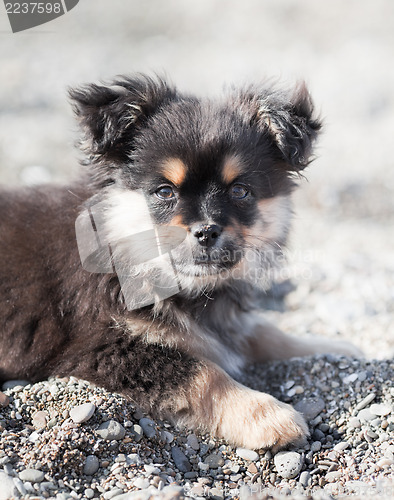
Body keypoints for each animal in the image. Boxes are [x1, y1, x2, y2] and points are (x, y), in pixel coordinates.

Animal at [0, 76, 358, 452]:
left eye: (240, 191)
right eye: (164, 192)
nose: (207, 231)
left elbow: (265, 332)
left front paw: (335, 349)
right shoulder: (100, 346)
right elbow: (203, 373)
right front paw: (268, 416)